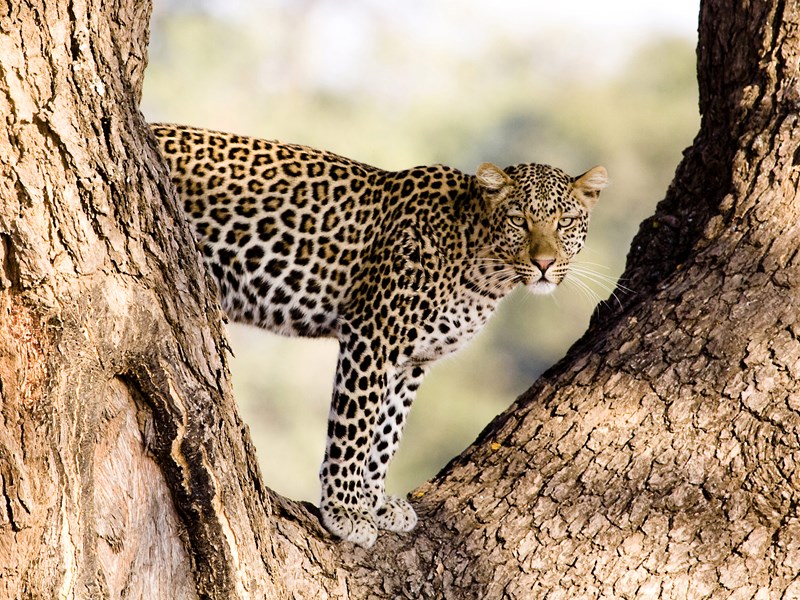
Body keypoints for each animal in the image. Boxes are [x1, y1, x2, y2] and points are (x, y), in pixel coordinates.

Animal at [150, 124, 608, 552]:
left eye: (565, 223)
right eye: (518, 221)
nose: (544, 262)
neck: (484, 271)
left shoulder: (412, 361)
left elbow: (387, 432)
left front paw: (375, 502)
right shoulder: (372, 335)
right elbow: (355, 428)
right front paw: (346, 510)